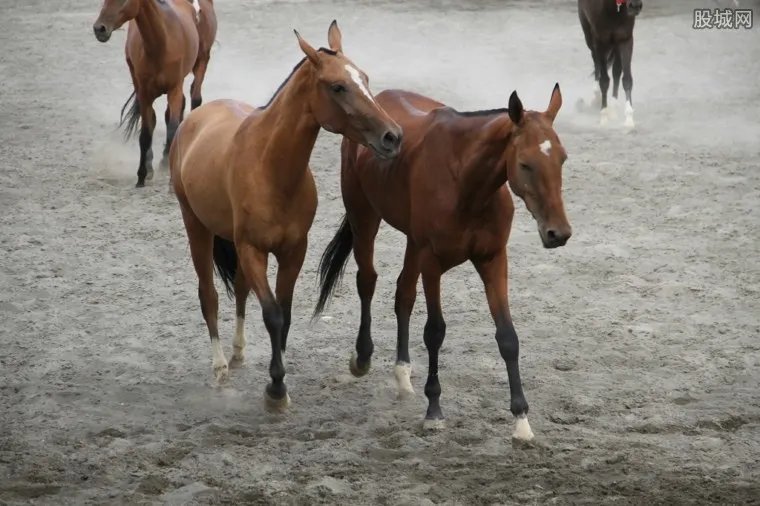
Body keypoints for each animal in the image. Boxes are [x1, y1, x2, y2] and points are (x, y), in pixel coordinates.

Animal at [93, 0, 218, 188]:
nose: (99, 28)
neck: (160, 43)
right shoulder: (144, 93)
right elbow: (146, 132)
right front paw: (142, 175)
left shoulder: (174, 88)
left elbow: (172, 127)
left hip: (201, 60)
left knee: (194, 100)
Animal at [168, 21, 402, 411]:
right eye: (338, 86)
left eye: (365, 79)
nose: (393, 136)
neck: (270, 167)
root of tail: (197, 118)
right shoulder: (253, 250)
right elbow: (272, 314)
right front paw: (276, 390)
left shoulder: (293, 251)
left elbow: (285, 313)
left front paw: (277, 377)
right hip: (196, 227)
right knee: (209, 295)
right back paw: (220, 367)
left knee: (241, 290)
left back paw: (238, 352)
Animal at [313, 84, 572, 442]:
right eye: (525, 163)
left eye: (562, 158)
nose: (558, 233)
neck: (466, 184)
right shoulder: (432, 263)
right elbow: (435, 331)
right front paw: (434, 410)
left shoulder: (493, 259)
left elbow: (507, 336)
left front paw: (521, 420)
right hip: (364, 216)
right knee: (367, 280)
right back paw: (363, 357)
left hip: (412, 242)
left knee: (403, 294)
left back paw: (403, 373)